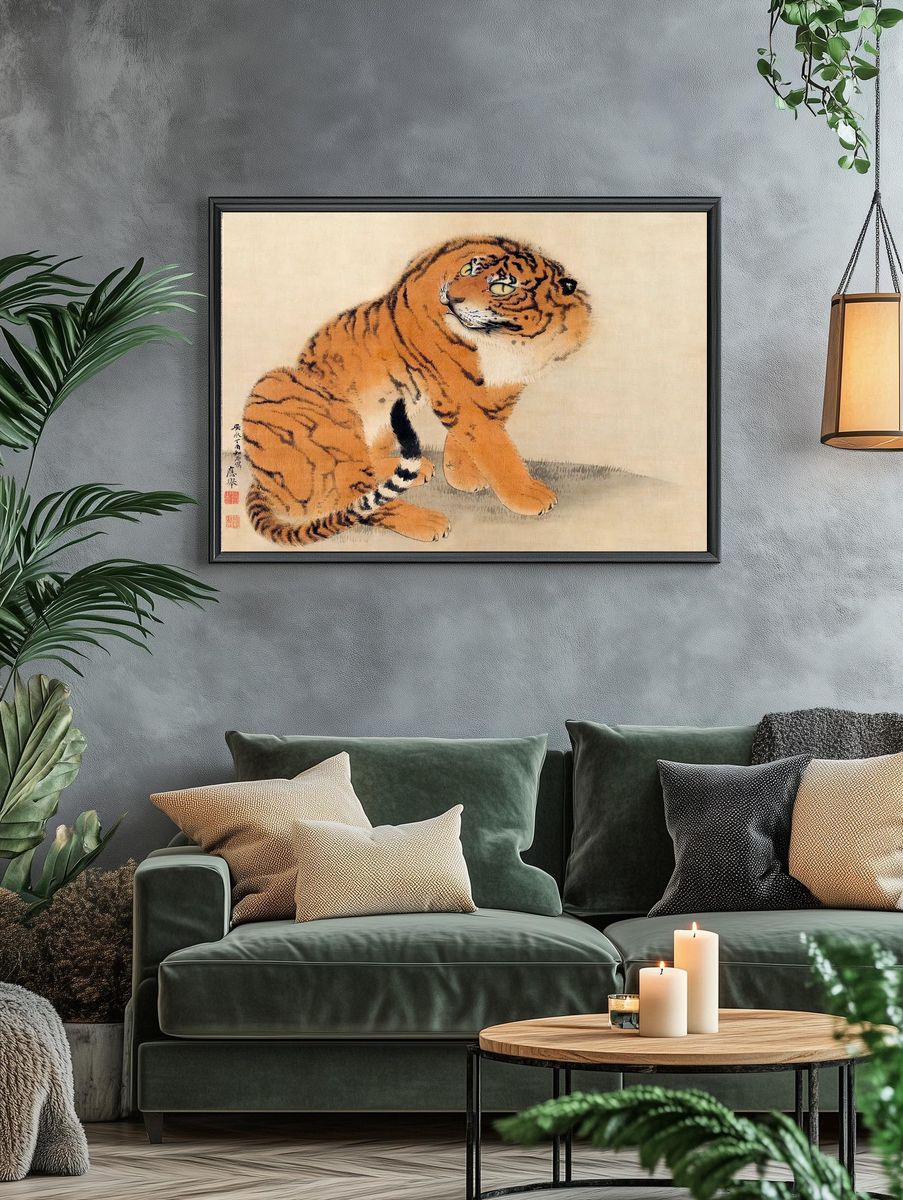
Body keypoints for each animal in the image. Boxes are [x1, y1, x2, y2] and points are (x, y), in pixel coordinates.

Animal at [243, 235, 591, 546]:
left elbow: (481, 434)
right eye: (468, 270)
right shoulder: (456, 388)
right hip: (308, 406)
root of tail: (261, 480)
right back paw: (428, 522)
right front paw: (527, 494)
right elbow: (493, 445)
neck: (510, 341)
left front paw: (462, 474)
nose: (451, 297)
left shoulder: (505, 387)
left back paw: (418, 468)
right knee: (356, 499)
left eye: (502, 287)